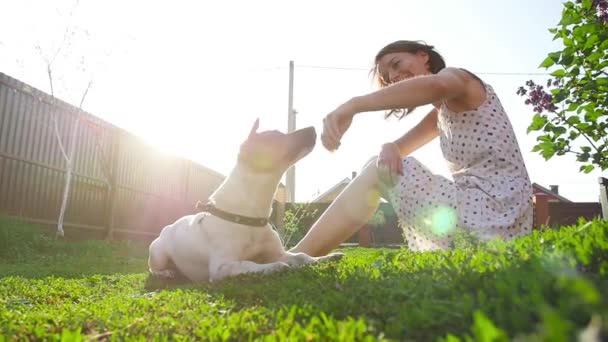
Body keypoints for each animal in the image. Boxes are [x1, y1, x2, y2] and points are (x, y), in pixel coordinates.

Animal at [147, 120, 342, 284]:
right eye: (276, 136)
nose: (313, 128)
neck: (249, 214)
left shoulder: (279, 253)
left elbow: (301, 256)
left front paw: (323, 258)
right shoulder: (221, 267)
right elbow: (248, 264)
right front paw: (273, 267)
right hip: (158, 253)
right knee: (153, 268)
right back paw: (165, 272)